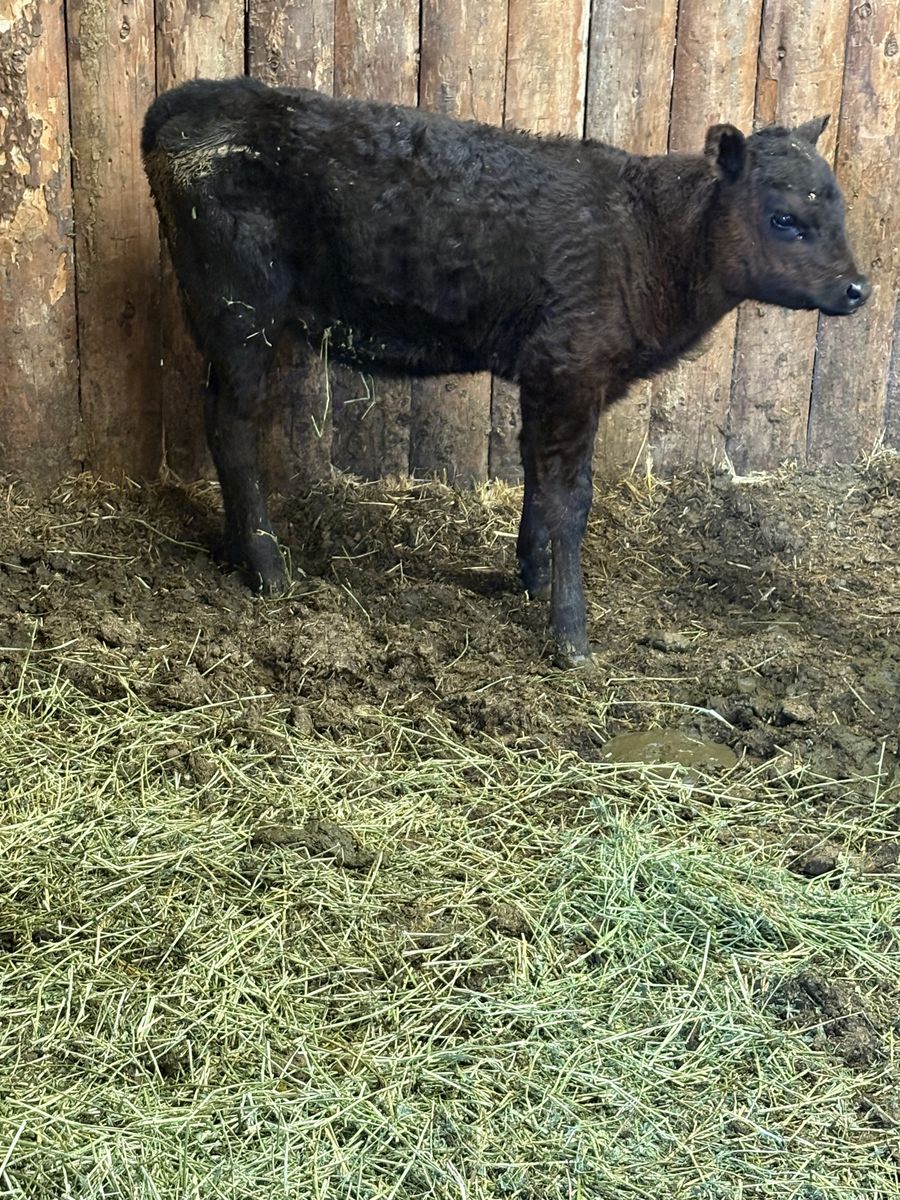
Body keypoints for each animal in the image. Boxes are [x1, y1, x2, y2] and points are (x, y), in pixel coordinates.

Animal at [142, 77, 870, 665]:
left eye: (837, 208)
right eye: (784, 217)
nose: (858, 289)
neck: (647, 239)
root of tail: (195, 95)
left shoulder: (551, 378)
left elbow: (535, 477)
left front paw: (531, 577)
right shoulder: (570, 368)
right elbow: (570, 498)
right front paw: (571, 637)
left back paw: (236, 551)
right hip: (240, 317)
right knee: (233, 430)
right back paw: (269, 568)